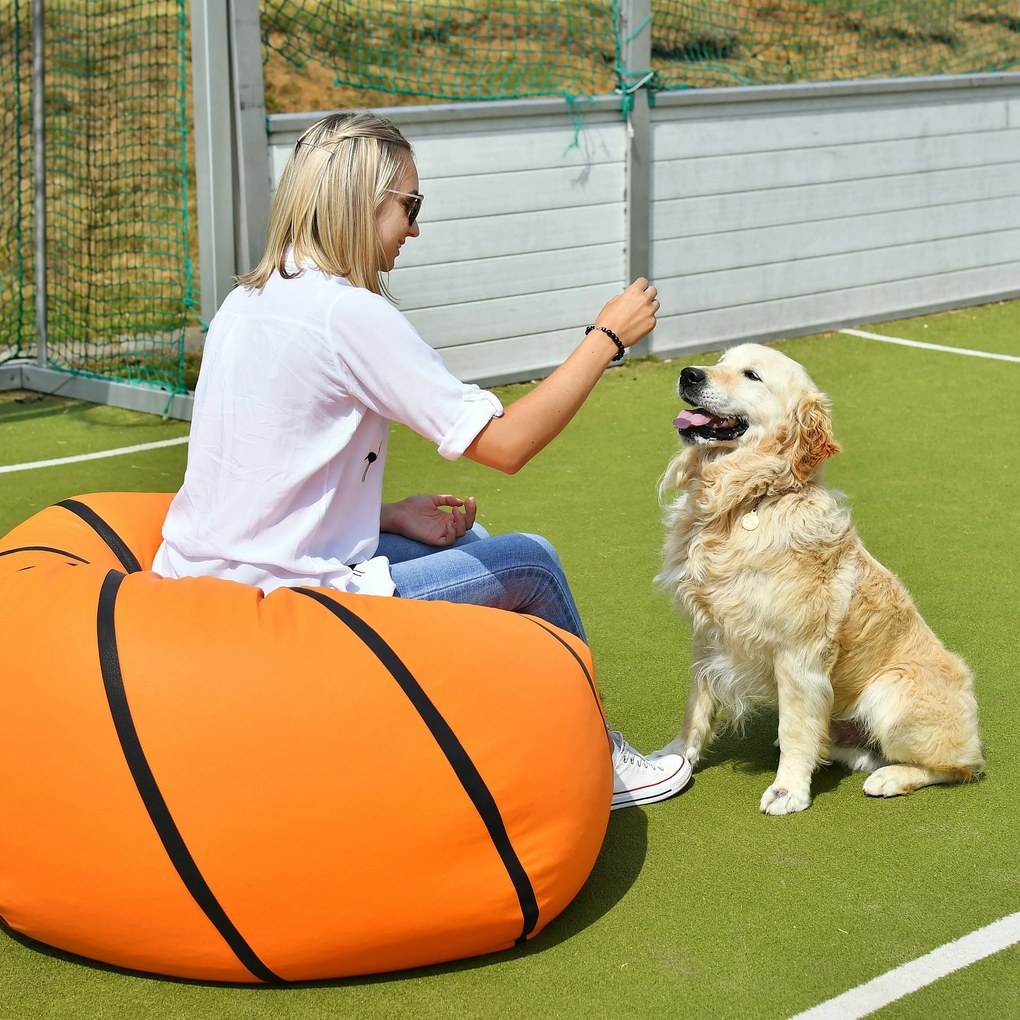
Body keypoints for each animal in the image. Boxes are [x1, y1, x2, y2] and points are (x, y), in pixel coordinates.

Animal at [652, 342, 979, 811]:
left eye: (752, 375)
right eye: (720, 361)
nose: (689, 374)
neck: (746, 502)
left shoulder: (797, 653)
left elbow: (794, 729)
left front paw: (788, 790)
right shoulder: (708, 634)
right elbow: (696, 707)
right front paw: (676, 757)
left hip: (890, 689)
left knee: (957, 767)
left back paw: (892, 777)